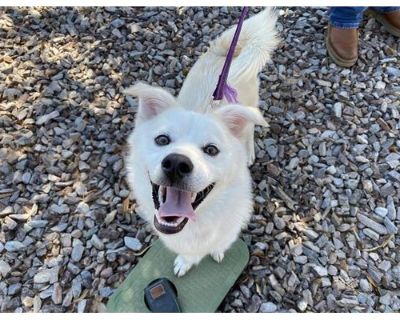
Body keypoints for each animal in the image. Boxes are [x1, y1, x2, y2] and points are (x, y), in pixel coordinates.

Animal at [125, 8, 278, 276]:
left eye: (211, 149)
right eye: (162, 139)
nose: (176, 164)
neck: (195, 223)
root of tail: (225, 53)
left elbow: (219, 245)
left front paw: (216, 253)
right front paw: (185, 262)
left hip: (250, 107)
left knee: (250, 129)